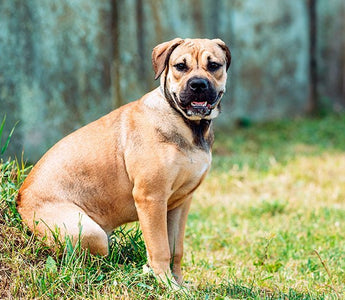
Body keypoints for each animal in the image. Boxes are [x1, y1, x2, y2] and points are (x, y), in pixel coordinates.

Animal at [16, 38, 231, 286]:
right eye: (180, 66)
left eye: (214, 65)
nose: (198, 84)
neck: (188, 125)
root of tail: (20, 199)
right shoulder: (151, 198)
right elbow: (160, 248)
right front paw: (167, 284)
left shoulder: (180, 203)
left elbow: (176, 249)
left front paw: (179, 283)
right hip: (90, 232)